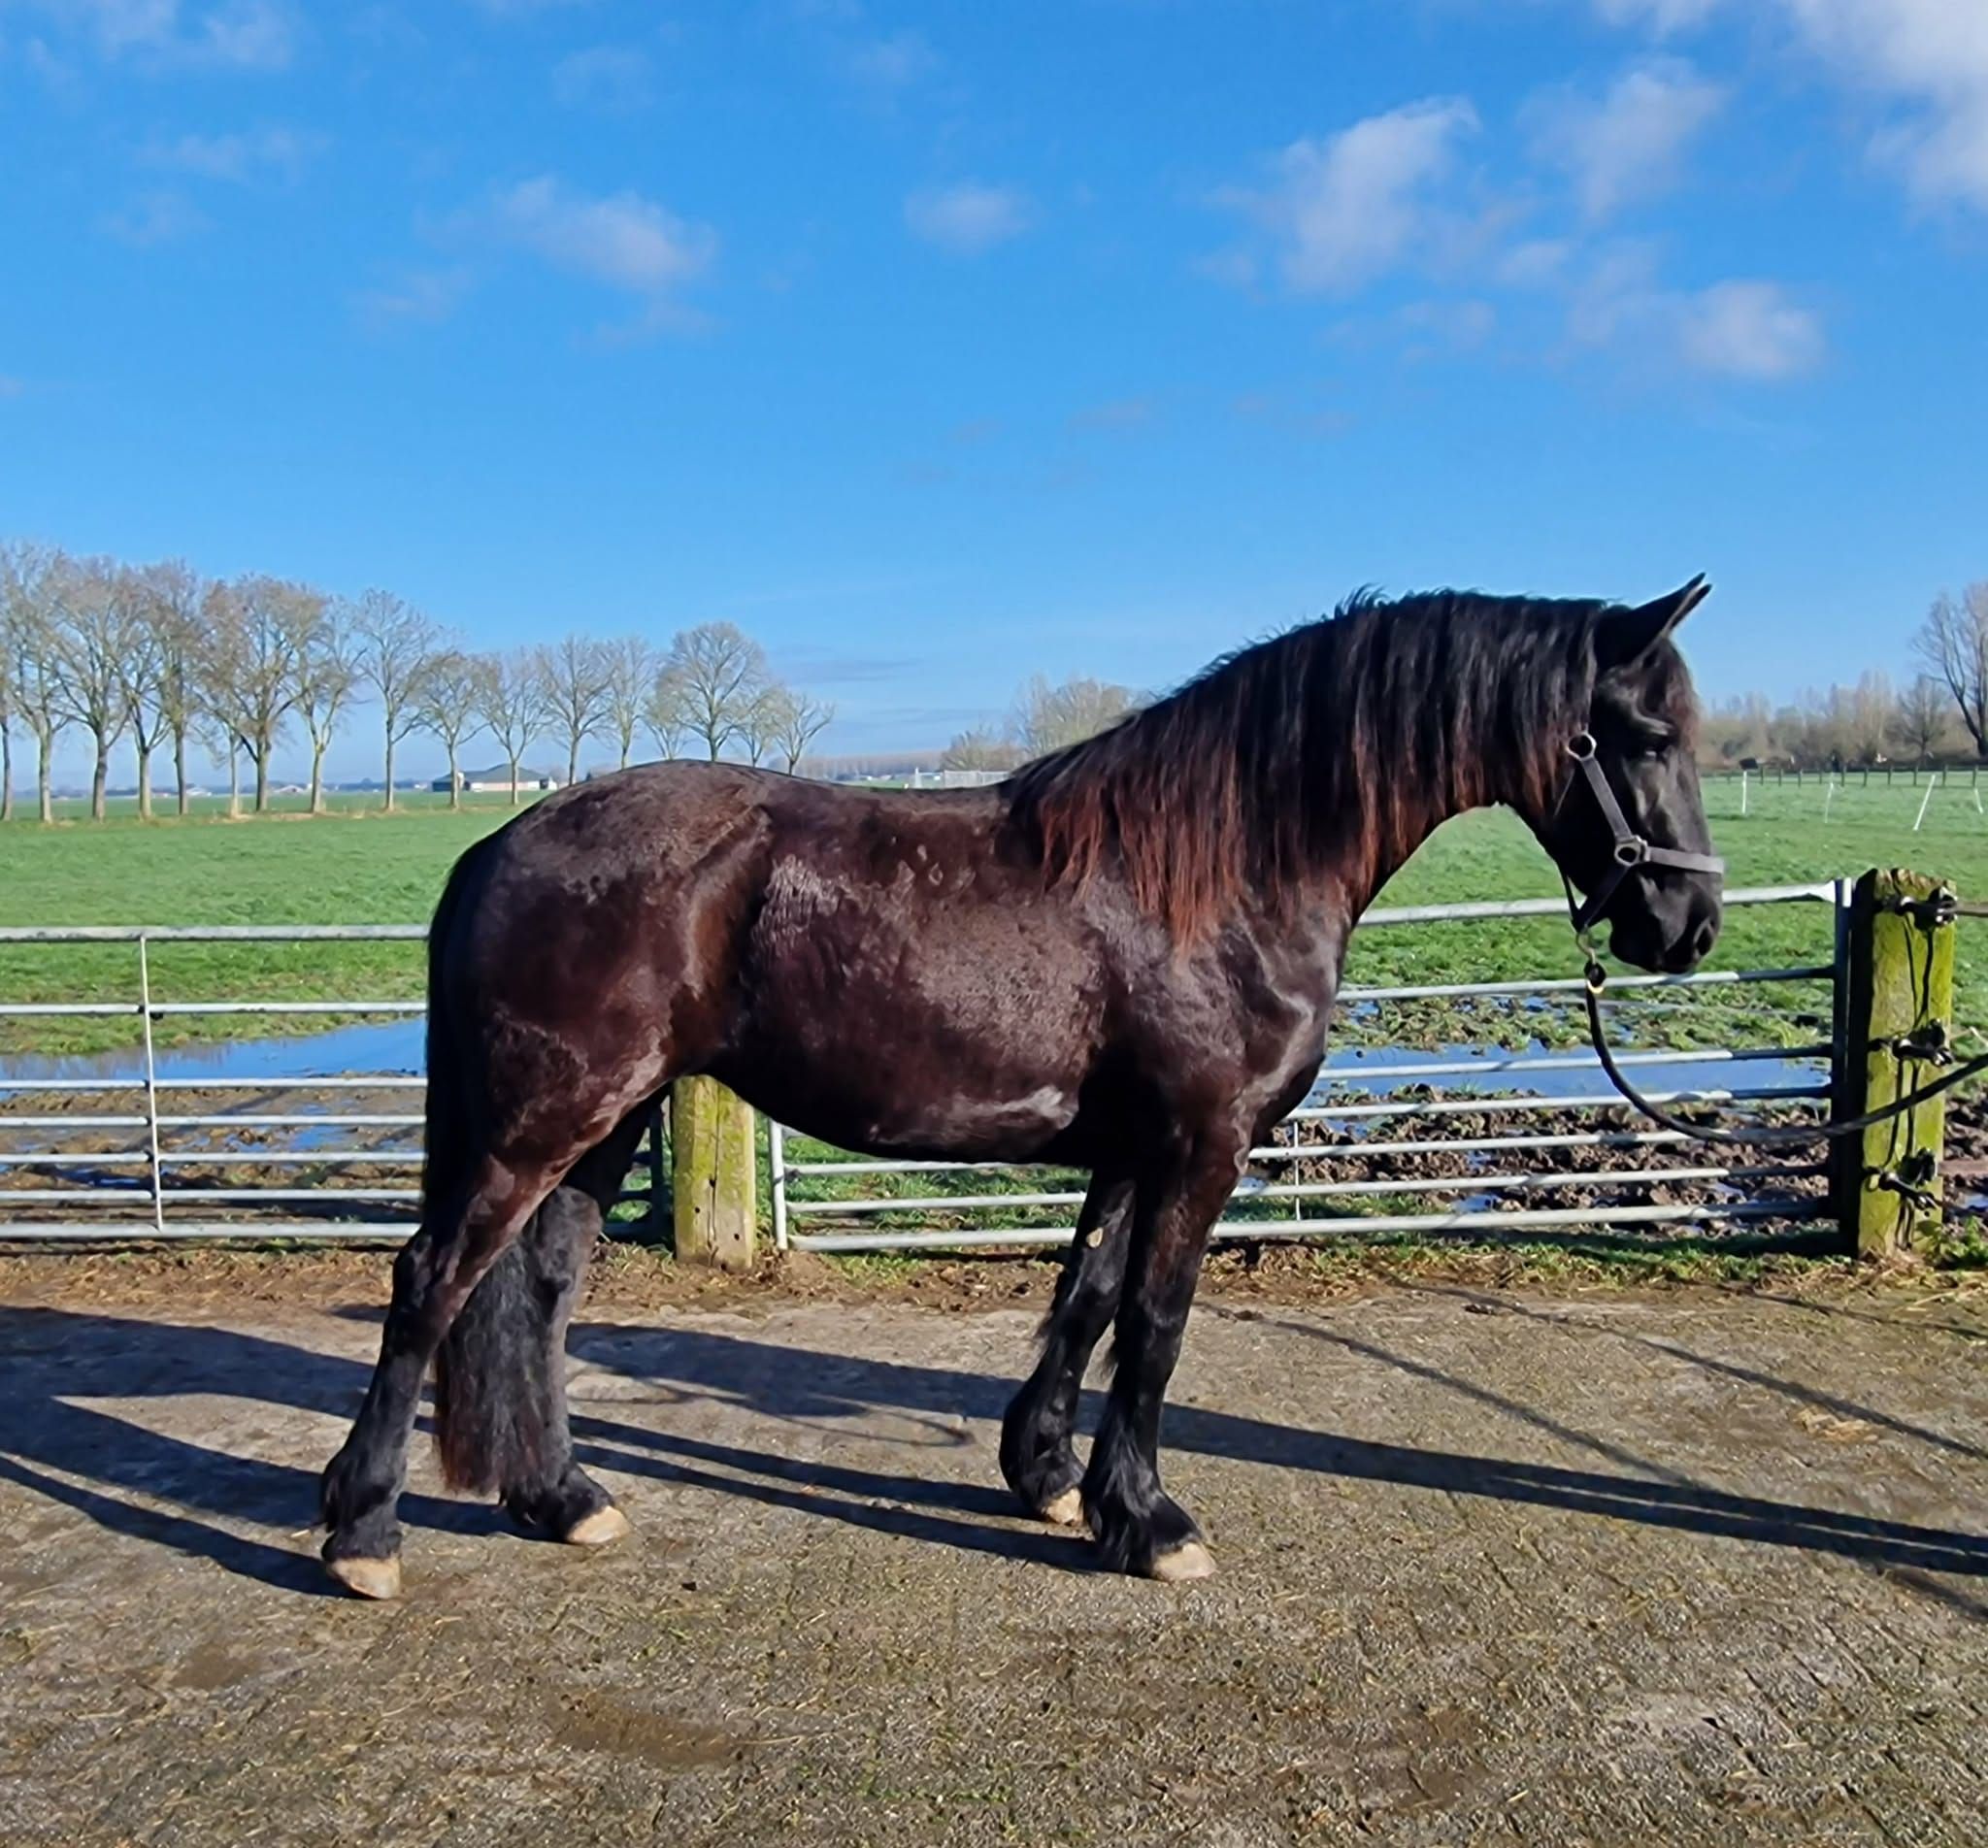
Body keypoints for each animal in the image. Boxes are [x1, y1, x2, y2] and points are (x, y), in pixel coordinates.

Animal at [319, 580, 1723, 1598]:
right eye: (1643, 737)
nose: (1689, 926)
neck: (1224, 868)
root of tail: (502, 841)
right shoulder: (1202, 1145)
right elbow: (1156, 1326)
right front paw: (1149, 1519)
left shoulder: (1134, 1147)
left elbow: (1086, 1298)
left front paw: (1048, 1476)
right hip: (544, 1118)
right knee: (432, 1281)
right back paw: (364, 1531)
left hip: (604, 1120)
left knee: (541, 1291)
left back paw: (561, 1500)